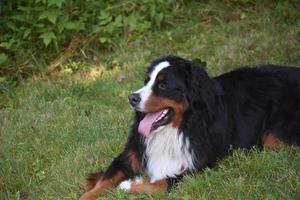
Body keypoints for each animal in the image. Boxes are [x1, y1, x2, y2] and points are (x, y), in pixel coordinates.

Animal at [80, 55, 300, 199]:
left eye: (163, 85)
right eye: (146, 81)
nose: (131, 98)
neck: (178, 128)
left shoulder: (193, 168)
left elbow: (160, 184)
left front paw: (128, 185)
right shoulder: (129, 156)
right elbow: (101, 183)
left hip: (274, 137)